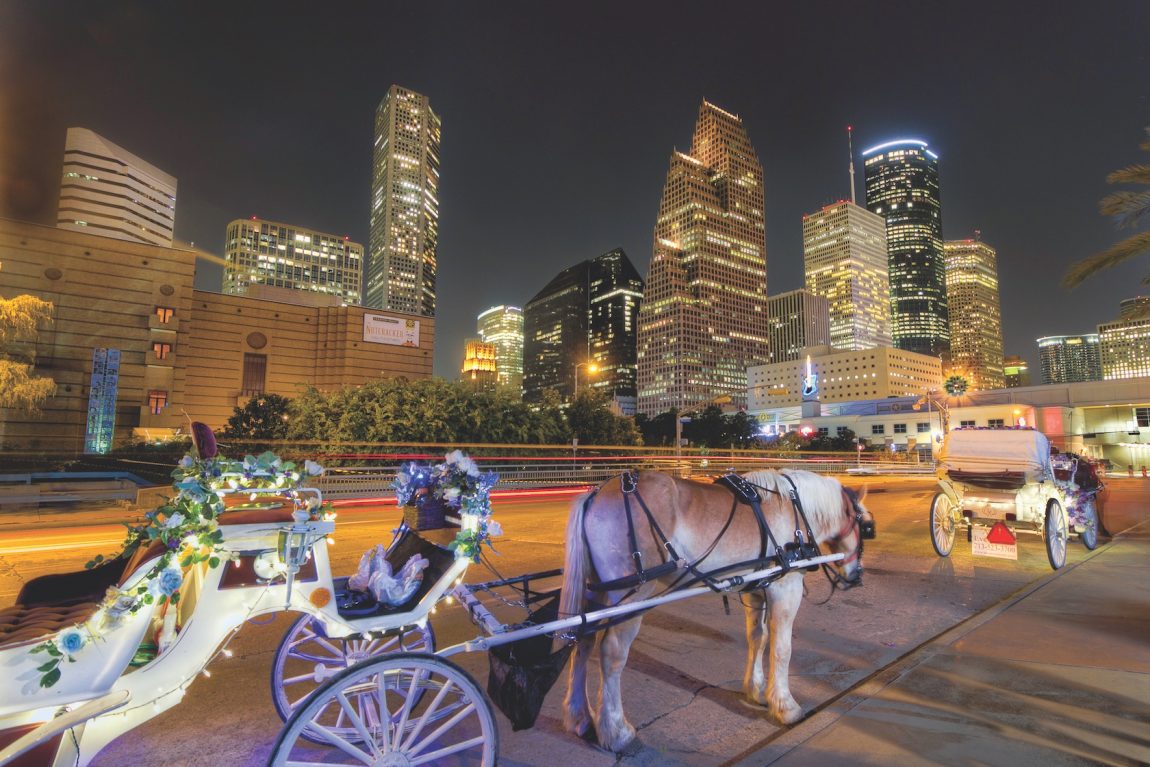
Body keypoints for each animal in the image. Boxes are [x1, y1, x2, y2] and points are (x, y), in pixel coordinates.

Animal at [558, 469, 869, 749]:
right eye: (865, 526)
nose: (856, 576)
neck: (794, 508)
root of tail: (596, 493)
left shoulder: (756, 589)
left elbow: (758, 639)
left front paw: (756, 689)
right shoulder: (786, 588)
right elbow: (782, 649)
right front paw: (785, 706)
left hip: (596, 592)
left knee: (582, 644)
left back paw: (580, 718)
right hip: (632, 596)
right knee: (612, 653)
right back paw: (615, 731)